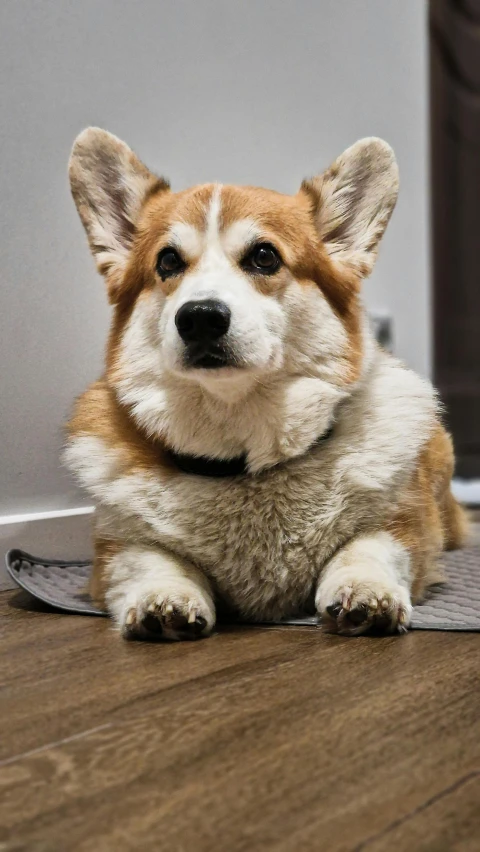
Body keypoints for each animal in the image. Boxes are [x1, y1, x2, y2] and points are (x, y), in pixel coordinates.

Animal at [63, 128, 464, 640]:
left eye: (263, 256)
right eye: (168, 261)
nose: (200, 318)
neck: (241, 455)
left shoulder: (406, 529)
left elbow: (368, 546)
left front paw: (366, 591)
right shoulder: (115, 550)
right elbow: (152, 559)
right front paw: (164, 598)